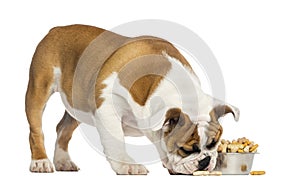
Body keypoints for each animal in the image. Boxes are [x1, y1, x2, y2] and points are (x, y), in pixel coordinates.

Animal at [26, 24, 241, 175]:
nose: (205, 161)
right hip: (38, 89)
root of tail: (57, 29)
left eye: (214, 143)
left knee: (63, 128)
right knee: (36, 130)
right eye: (185, 149)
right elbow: (116, 140)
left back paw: (63, 161)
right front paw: (127, 165)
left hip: (76, 105)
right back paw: (40, 162)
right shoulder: (107, 107)